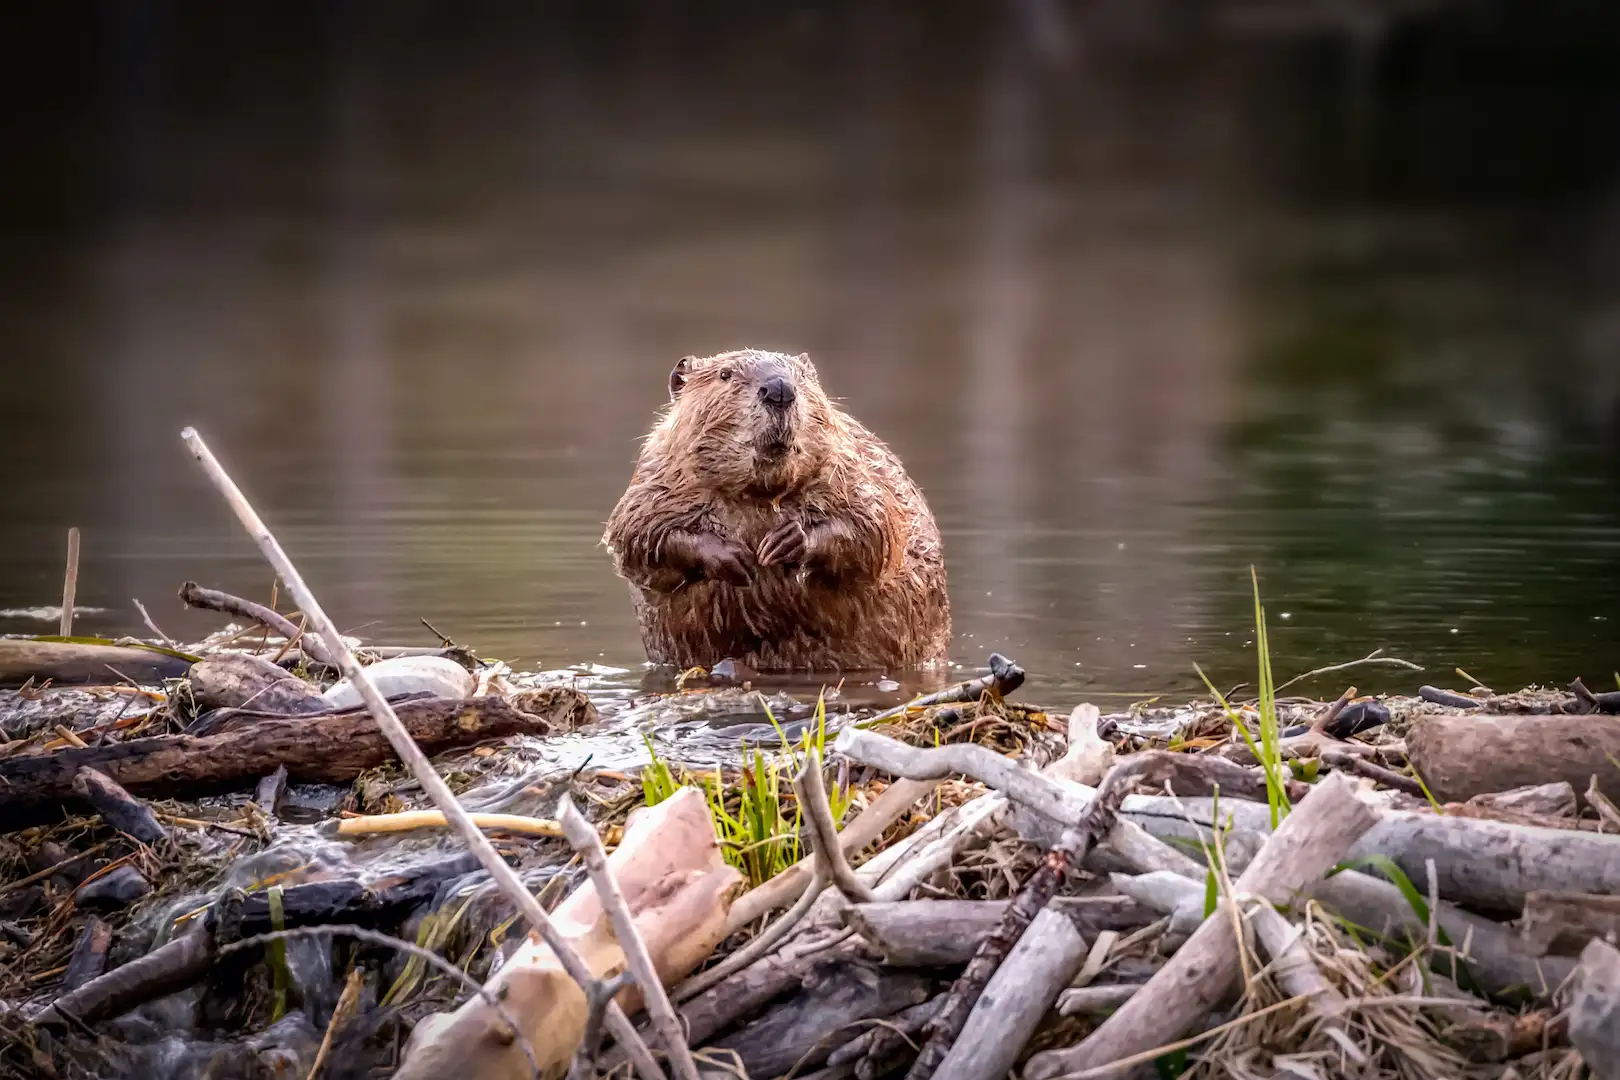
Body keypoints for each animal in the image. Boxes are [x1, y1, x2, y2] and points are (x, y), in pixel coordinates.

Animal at [602, 351, 946, 670]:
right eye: (725, 375)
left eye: (802, 377)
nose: (780, 389)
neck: (759, 494)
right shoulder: (656, 477)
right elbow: (636, 535)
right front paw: (733, 556)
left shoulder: (852, 467)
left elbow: (875, 527)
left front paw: (785, 542)